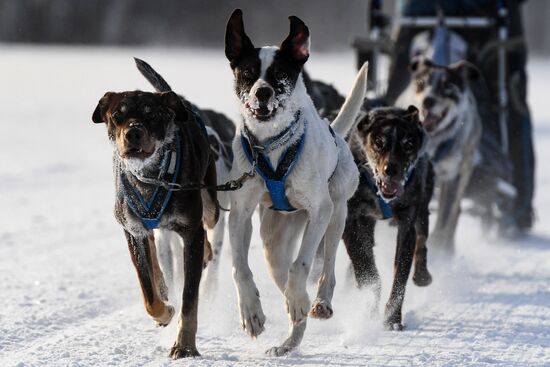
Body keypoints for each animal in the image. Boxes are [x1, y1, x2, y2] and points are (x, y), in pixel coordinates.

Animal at [91, 87, 219, 360]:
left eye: (152, 115)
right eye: (117, 115)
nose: (133, 133)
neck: (151, 180)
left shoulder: (190, 229)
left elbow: (189, 298)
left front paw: (185, 345)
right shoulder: (132, 230)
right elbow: (147, 290)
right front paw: (164, 311)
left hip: (210, 201)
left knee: (208, 224)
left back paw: (206, 251)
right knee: (151, 247)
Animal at [224, 10, 370, 356]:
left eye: (280, 74)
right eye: (248, 72)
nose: (263, 92)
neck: (271, 146)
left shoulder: (319, 210)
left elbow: (302, 264)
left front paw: (300, 297)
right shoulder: (240, 213)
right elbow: (239, 267)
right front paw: (251, 311)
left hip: (337, 213)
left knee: (326, 266)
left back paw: (318, 302)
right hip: (274, 242)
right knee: (283, 273)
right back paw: (289, 340)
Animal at [344, 105, 436, 330]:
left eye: (408, 145)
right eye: (379, 142)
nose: (391, 170)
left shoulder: (407, 224)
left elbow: (400, 275)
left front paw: (393, 319)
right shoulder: (350, 220)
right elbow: (365, 266)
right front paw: (370, 304)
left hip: (422, 208)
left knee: (422, 239)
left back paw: (422, 275)